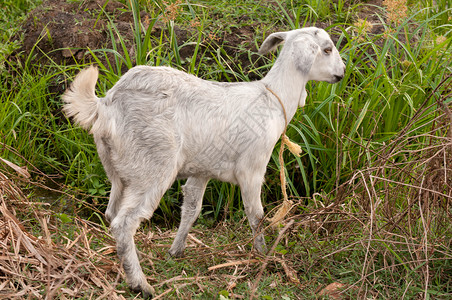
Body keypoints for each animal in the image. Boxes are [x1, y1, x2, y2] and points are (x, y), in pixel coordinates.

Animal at [62, 26, 346, 298]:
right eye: (327, 49)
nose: (342, 73)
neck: (272, 98)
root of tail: (105, 105)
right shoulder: (252, 167)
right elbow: (256, 214)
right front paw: (263, 254)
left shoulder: (202, 171)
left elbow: (192, 209)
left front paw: (176, 251)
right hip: (152, 165)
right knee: (125, 222)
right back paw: (141, 285)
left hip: (118, 171)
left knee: (111, 213)